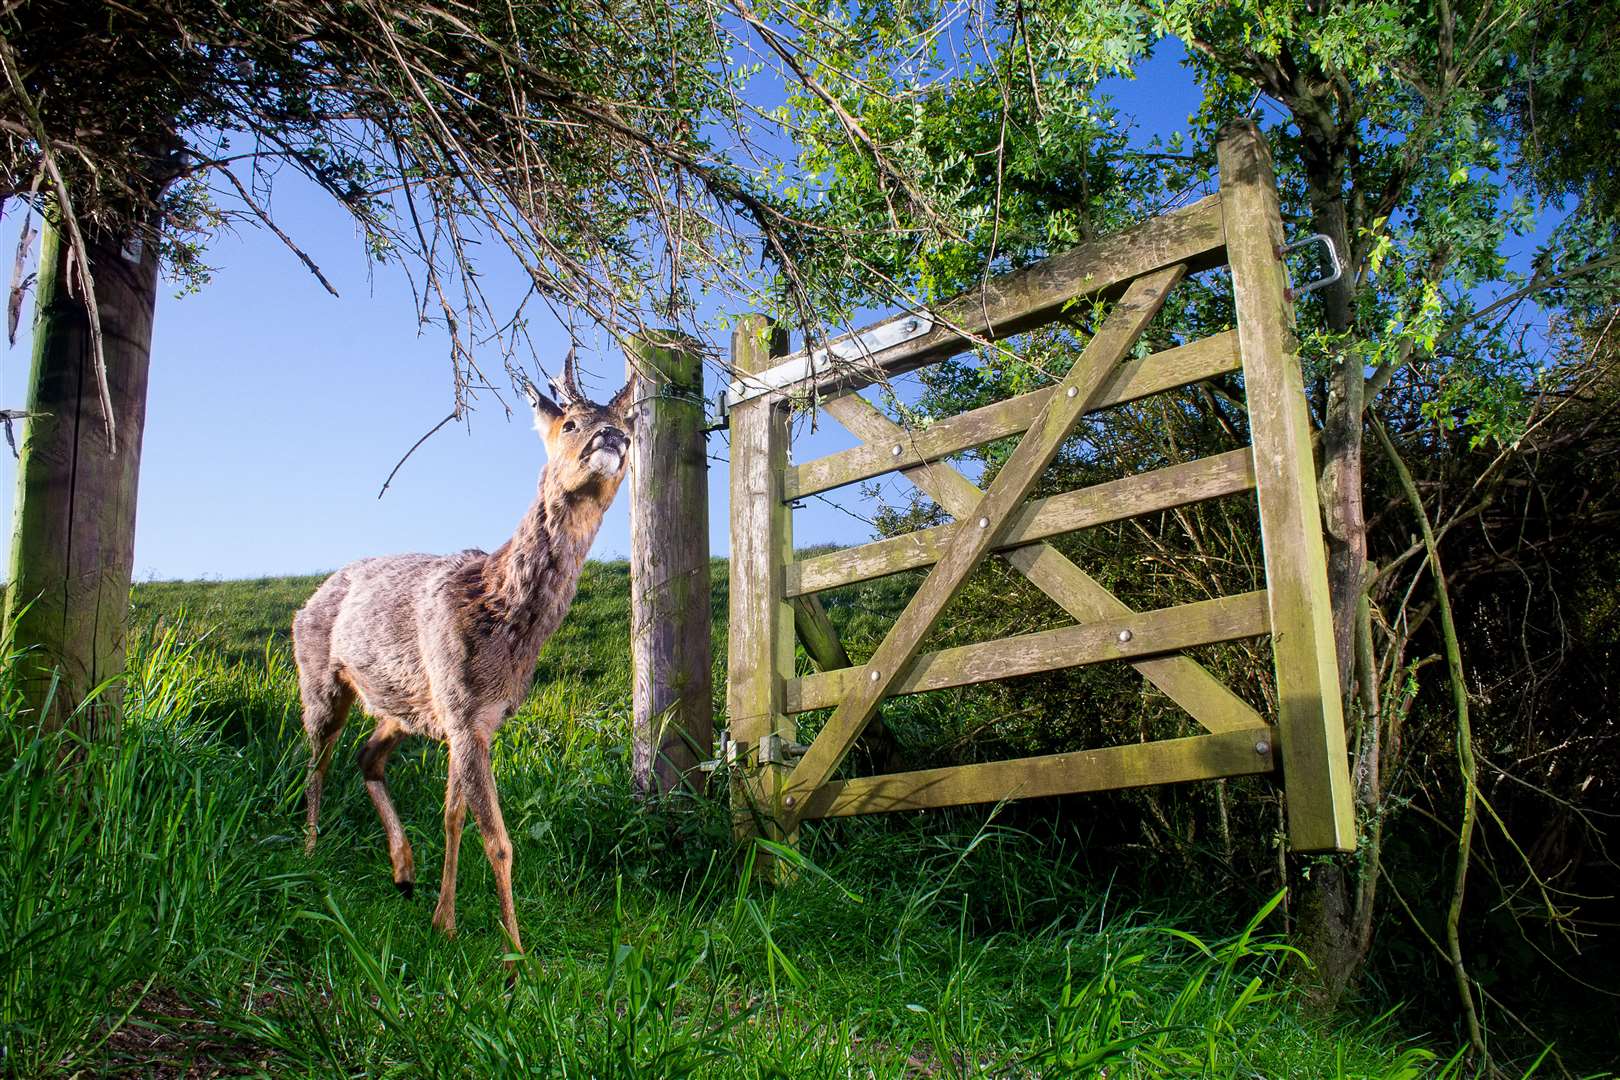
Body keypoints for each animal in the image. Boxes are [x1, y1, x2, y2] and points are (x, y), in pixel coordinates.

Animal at [294, 351, 635, 952]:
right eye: (571, 422)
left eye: (631, 425)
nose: (613, 437)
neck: (497, 606)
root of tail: (309, 598)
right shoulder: (461, 711)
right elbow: (497, 838)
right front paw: (515, 952)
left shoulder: (476, 719)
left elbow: (454, 815)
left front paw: (444, 921)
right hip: (319, 677)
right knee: (317, 760)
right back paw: (311, 851)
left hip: (404, 706)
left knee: (366, 756)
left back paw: (403, 870)